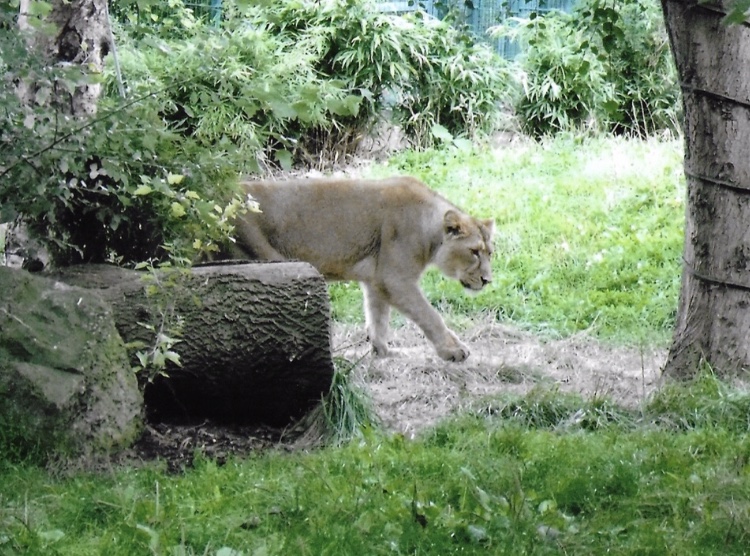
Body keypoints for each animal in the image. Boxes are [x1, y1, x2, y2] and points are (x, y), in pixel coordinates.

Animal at [228, 176, 494, 362]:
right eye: (474, 251)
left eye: (489, 253)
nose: (487, 280)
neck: (428, 228)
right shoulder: (395, 279)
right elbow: (429, 315)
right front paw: (453, 350)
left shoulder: (376, 280)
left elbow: (378, 318)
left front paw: (383, 352)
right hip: (267, 260)